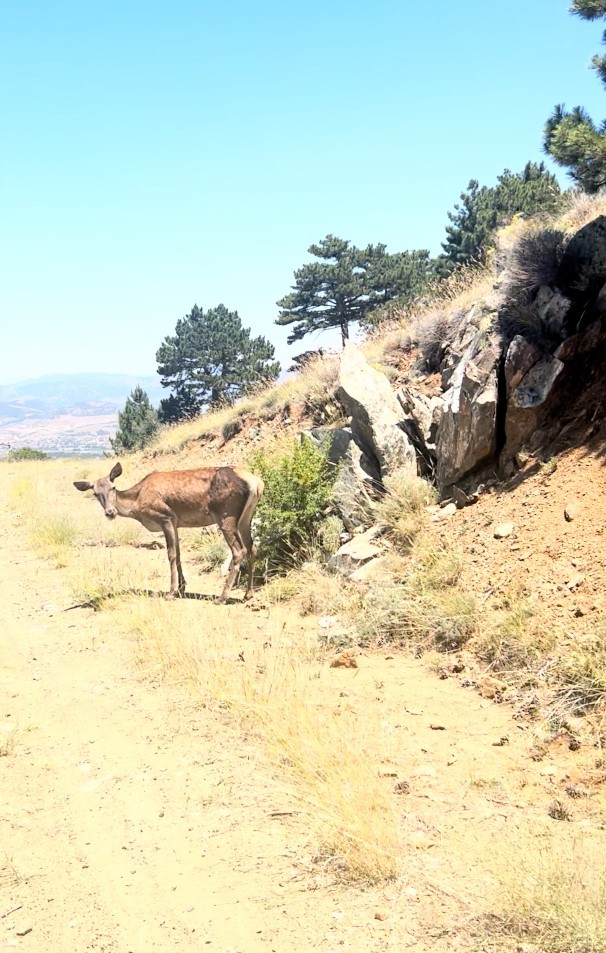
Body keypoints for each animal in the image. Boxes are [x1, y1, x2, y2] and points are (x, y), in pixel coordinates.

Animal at [73, 462, 264, 604]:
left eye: (113, 487)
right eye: (95, 493)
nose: (110, 512)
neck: (137, 505)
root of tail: (256, 483)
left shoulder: (165, 517)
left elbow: (171, 554)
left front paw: (171, 592)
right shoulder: (176, 523)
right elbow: (178, 554)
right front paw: (181, 588)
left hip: (226, 515)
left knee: (239, 550)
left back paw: (222, 597)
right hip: (246, 518)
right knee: (252, 548)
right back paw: (248, 594)